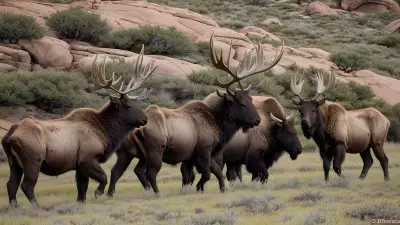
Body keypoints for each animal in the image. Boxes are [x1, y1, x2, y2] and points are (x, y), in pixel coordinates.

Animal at [1, 45, 158, 207]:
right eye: (127, 105)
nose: (145, 119)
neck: (105, 132)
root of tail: (9, 137)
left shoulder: (79, 165)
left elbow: (82, 187)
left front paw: (81, 202)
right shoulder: (87, 158)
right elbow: (102, 178)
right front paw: (98, 193)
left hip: (14, 163)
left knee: (11, 184)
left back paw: (15, 206)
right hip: (33, 160)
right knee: (27, 185)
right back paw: (36, 206)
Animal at [104, 32, 282, 196]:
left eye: (251, 98)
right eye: (242, 103)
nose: (257, 120)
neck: (218, 124)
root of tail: (135, 128)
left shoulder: (196, 155)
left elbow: (212, 173)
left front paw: (220, 188)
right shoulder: (203, 151)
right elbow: (207, 174)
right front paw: (199, 187)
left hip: (130, 153)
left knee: (120, 171)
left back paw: (111, 193)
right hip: (155, 152)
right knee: (149, 173)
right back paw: (156, 193)